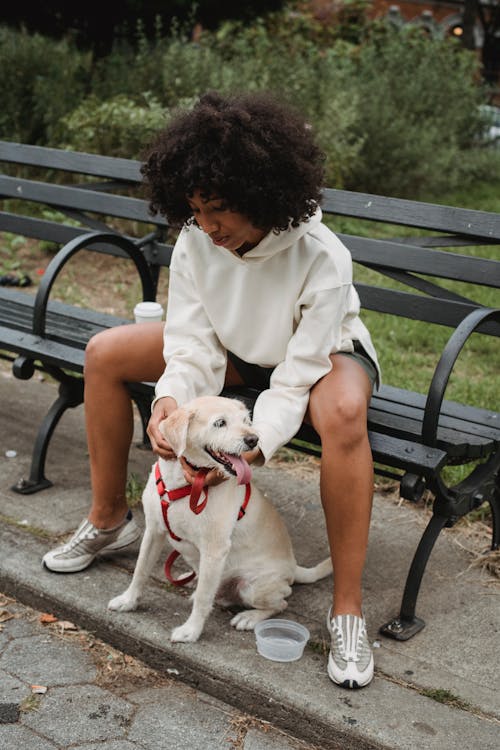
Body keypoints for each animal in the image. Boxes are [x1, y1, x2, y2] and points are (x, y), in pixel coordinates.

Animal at [107, 394, 330, 648]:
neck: (186, 484)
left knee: (281, 603)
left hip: (252, 587)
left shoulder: (214, 551)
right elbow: (140, 570)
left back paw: (249, 617)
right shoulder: (154, 532)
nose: (254, 439)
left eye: (246, 421)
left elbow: (204, 599)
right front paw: (128, 600)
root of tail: (293, 567)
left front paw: (191, 631)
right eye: (220, 423)